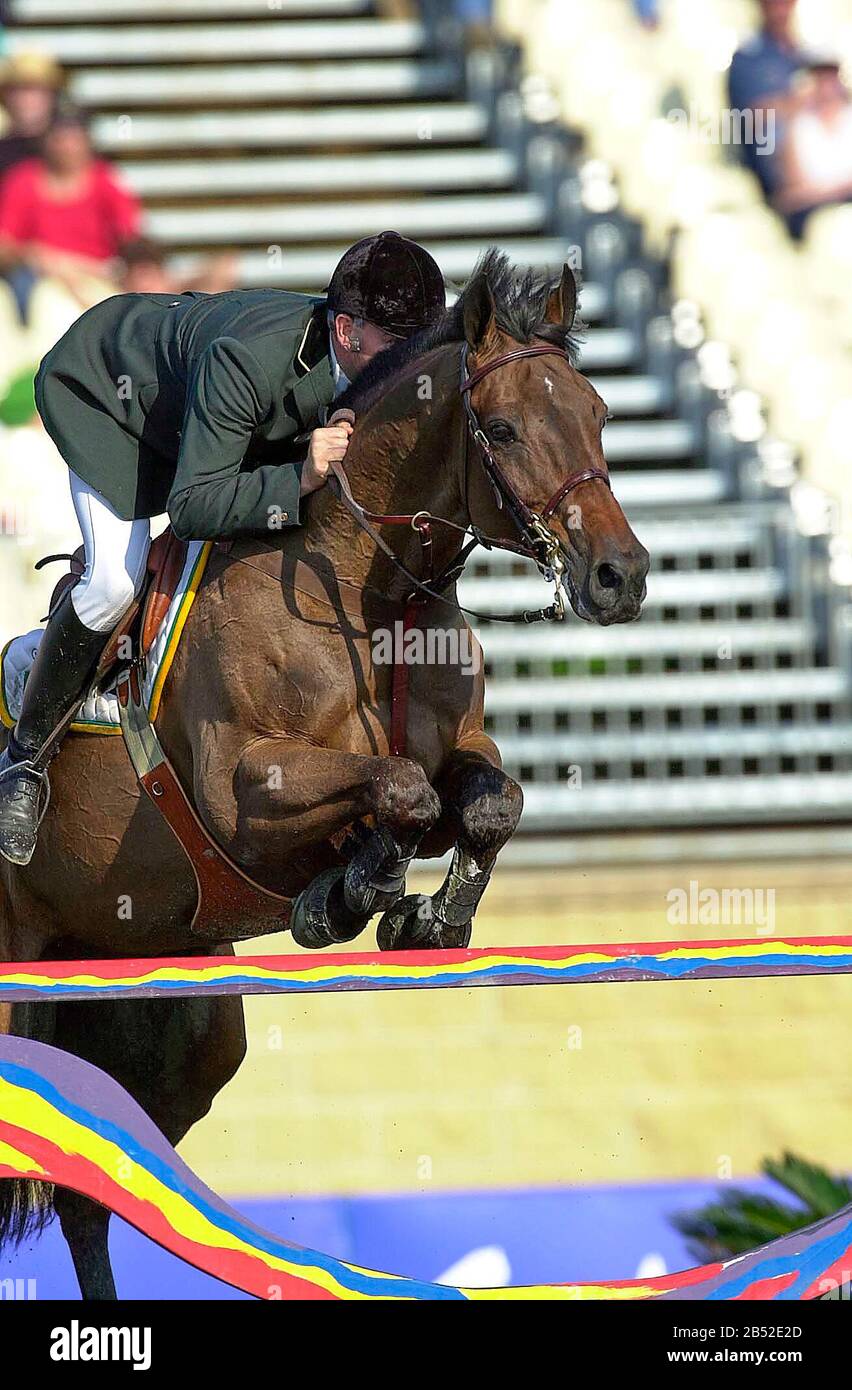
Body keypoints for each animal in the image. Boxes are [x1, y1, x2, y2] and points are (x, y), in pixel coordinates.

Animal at [0, 247, 644, 1289]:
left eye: (597, 414)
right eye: (504, 428)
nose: (620, 577)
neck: (365, 586)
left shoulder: (463, 750)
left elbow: (482, 802)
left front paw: (424, 918)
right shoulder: (242, 789)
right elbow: (397, 793)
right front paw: (345, 898)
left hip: (167, 1012)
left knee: (88, 1190)